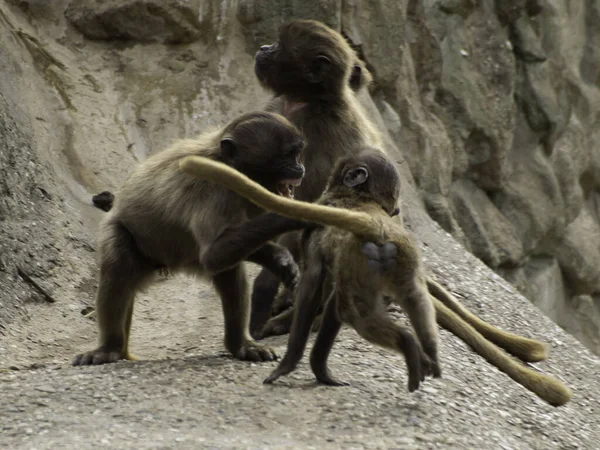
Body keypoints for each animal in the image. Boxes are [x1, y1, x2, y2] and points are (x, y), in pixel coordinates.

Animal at [73, 111, 308, 366]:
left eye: (297, 153)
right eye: (287, 156)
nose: (301, 168)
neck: (226, 164)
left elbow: (221, 253)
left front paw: (279, 258)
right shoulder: (213, 190)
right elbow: (214, 254)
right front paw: (295, 215)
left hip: (185, 258)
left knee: (230, 272)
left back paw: (239, 346)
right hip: (125, 234)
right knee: (119, 269)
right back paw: (110, 349)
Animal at [180, 149, 576, 406]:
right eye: (394, 194)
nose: (397, 210)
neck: (350, 198)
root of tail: (380, 231)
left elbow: (315, 286)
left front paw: (291, 355)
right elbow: (328, 297)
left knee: (356, 312)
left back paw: (406, 345)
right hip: (401, 269)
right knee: (398, 304)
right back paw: (424, 348)